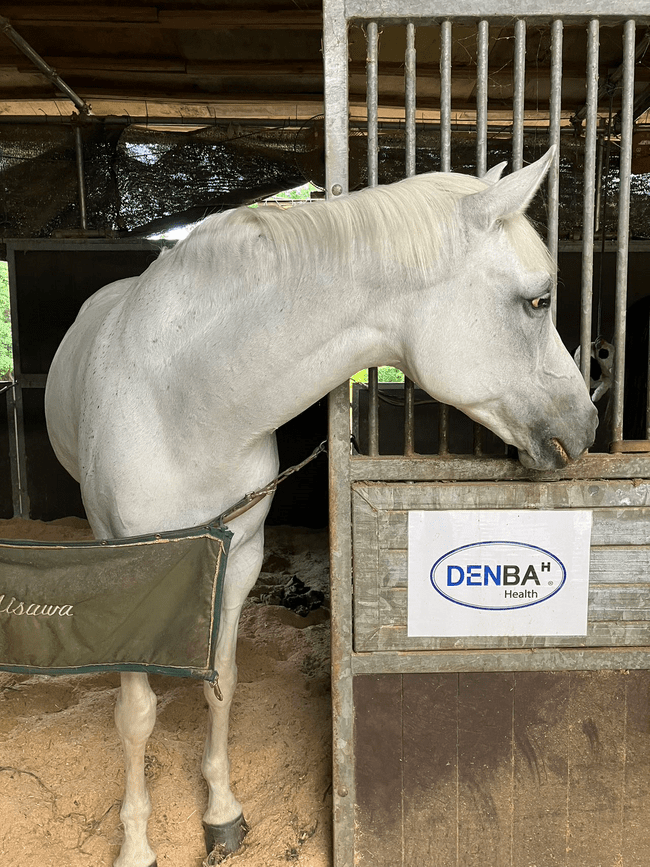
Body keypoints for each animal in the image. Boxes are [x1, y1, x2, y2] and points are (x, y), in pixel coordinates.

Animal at [44, 146, 597, 867]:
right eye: (538, 300)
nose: (587, 426)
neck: (181, 399)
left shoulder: (240, 555)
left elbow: (221, 682)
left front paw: (221, 811)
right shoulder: (133, 564)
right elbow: (135, 715)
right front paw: (136, 844)